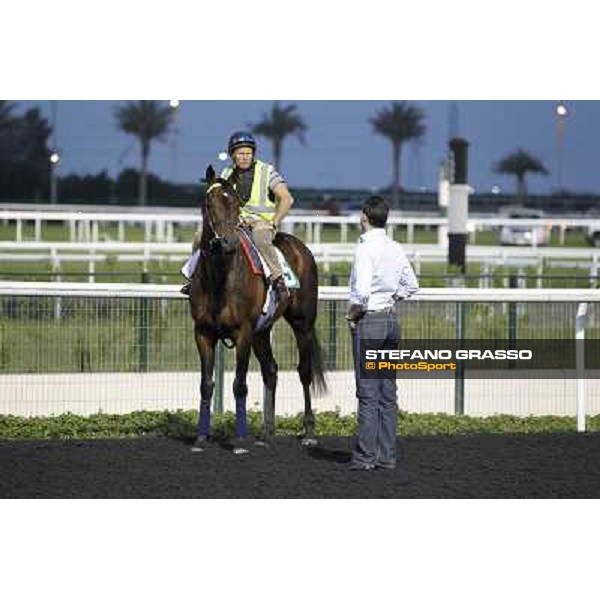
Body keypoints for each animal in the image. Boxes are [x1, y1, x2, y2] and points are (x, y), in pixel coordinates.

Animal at [189, 166, 326, 452]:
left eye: (235, 204)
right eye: (210, 204)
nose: (227, 243)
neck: (220, 279)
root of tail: (301, 248)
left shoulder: (243, 332)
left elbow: (239, 385)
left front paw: (240, 440)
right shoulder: (203, 333)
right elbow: (206, 384)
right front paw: (201, 437)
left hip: (302, 323)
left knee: (304, 370)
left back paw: (308, 431)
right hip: (262, 331)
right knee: (271, 370)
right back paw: (267, 432)